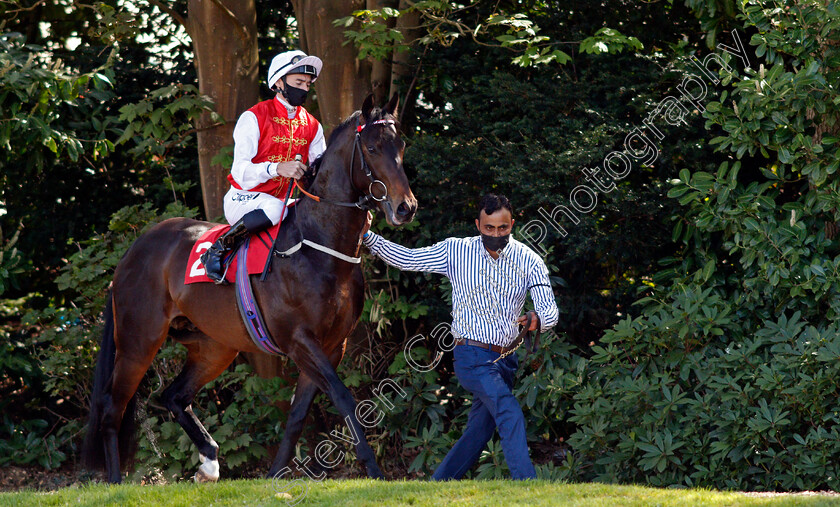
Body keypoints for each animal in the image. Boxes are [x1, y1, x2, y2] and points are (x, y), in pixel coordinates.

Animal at [82, 94, 416, 484]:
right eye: (374, 149)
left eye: (401, 146)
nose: (405, 207)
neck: (318, 245)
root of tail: (134, 250)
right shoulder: (300, 340)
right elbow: (344, 397)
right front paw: (373, 468)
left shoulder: (333, 346)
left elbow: (298, 414)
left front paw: (275, 475)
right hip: (139, 341)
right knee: (113, 407)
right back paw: (115, 482)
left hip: (214, 347)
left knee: (174, 396)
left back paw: (209, 461)